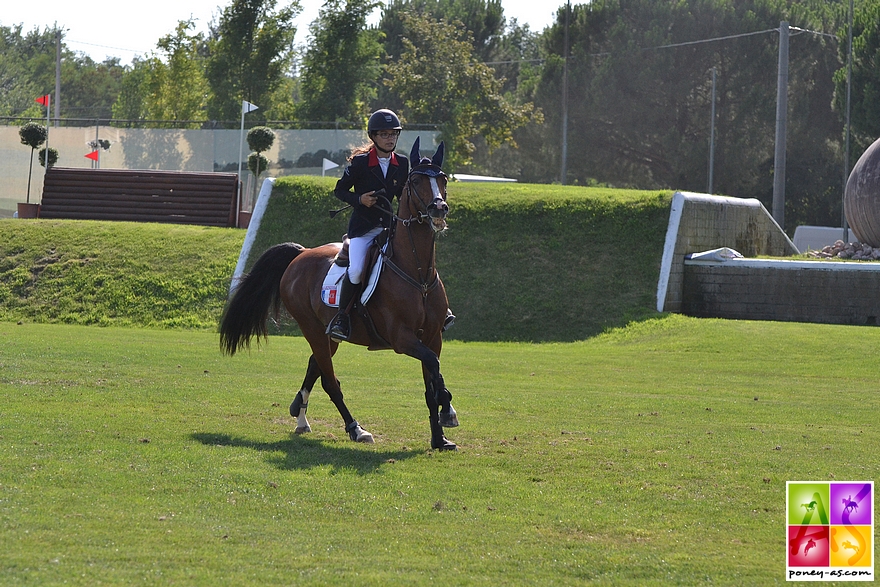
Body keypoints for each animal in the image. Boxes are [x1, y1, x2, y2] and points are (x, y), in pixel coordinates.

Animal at [218, 140, 460, 452]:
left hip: (327, 334)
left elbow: (432, 378)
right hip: (312, 328)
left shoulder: (432, 337)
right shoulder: (402, 339)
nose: (439, 208)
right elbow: (433, 366)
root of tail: (301, 254)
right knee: (330, 381)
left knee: (315, 365)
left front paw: (439, 435)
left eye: (442, 180)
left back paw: (300, 416)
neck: (418, 274)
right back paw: (356, 429)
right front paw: (448, 411)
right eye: (416, 181)